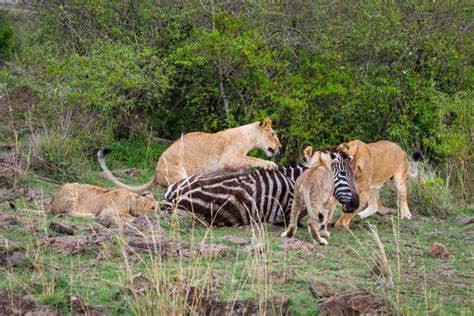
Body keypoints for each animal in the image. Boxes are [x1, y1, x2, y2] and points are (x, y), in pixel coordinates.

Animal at [96, 118, 282, 193]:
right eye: (273, 134)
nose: (280, 147)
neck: (249, 136)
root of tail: (155, 174)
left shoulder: (229, 166)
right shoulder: (228, 158)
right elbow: (252, 158)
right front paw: (270, 164)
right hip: (178, 173)